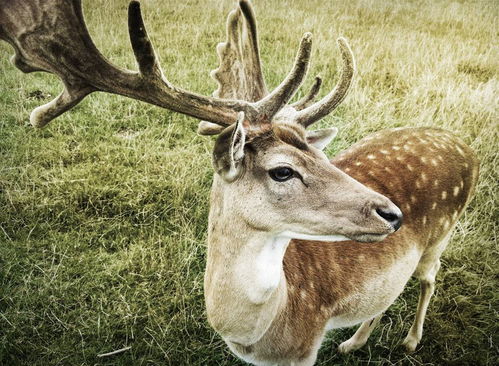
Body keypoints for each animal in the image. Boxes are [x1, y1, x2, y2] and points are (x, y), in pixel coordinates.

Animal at [0, 0, 480, 366]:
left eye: (322, 156)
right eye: (282, 170)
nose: (391, 212)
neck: (258, 333)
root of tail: (464, 145)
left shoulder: (305, 349)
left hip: (443, 234)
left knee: (428, 279)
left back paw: (411, 341)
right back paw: (353, 342)